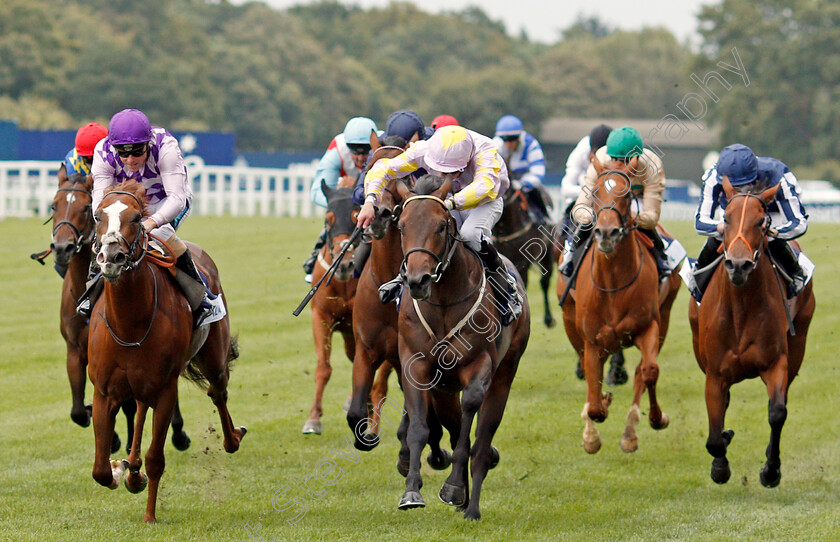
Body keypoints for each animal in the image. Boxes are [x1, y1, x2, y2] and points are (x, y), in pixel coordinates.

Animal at [87, 182, 244, 524]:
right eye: (98, 216)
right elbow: (100, 470)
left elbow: (156, 459)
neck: (131, 323)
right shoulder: (104, 392)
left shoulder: (166, 389)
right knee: (141, 408)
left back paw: (233, 437)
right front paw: (121, 471)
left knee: (217, 392)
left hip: (212, 356)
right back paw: (131, 471)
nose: (111, 257)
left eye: (136, 218)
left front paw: (150, 515)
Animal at [556, 160, 684, 454]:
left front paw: (654, 419)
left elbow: (649, 371)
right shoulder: (592, 339)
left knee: (641, 372)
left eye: (626, 194)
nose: (606, 233)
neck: (613, 283)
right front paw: (592, 433)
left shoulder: (648, 327)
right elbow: (593, 397)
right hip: (570, 323)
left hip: (666, 315)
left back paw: (630, 432)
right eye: (594, 192)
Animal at [688, 175, 812, 488]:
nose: (739, 264)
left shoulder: (776, 363)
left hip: (799, 344)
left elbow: (777, 412)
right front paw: (720, 464)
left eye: (760, 222)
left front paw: (771, 470)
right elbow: (714, 435)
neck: (741, 308)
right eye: (726, 218)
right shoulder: (714, 373)